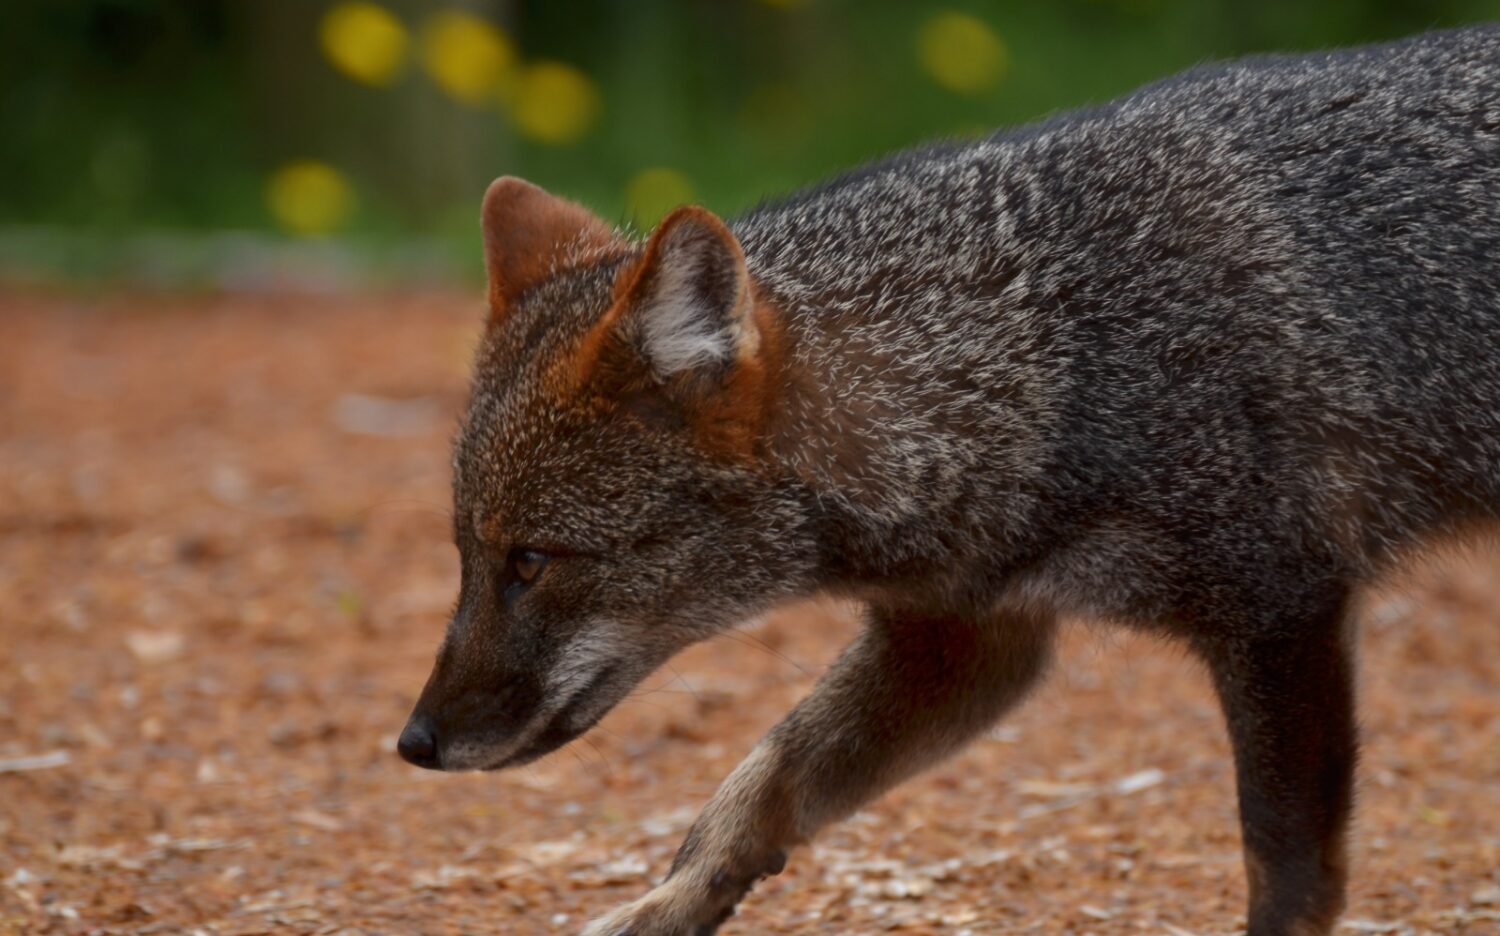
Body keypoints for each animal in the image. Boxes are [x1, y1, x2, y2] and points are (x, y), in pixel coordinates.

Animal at [396, 24, 1500, 936]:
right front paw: (673, 903)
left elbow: (1286, 864)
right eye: (467, 556)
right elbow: (763, 780)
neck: (1052, 346)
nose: (414, 742)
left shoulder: (1282, 609)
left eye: (533, 561)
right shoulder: (965, 636)